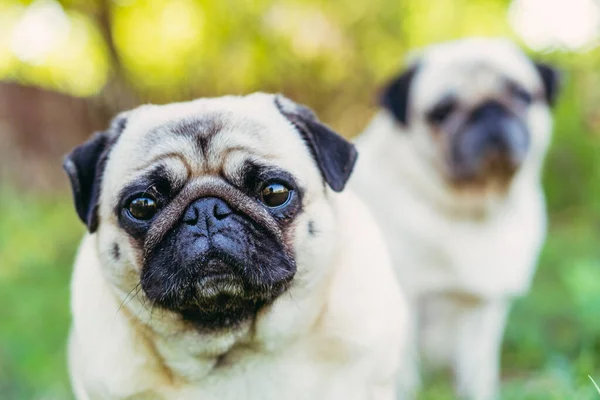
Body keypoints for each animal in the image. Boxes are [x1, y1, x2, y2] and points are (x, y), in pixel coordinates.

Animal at [350, 38, 560, 400]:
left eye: (521, 95)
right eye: (442, 112)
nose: (488, 111)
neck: (471, 211)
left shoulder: (485, 310)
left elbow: (478, 372)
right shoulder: (407, 301)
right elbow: (404, 377)